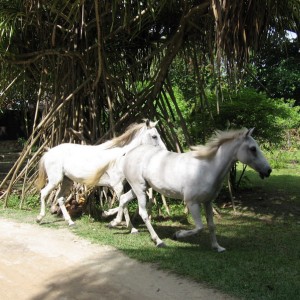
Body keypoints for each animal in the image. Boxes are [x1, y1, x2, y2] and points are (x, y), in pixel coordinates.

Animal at [36, 119, 166, 225]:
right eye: (154, 136)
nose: (165, 151)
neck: (122, 158)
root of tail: (49, 152)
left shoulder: (125, 186)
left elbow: (123, 202)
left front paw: (107, 214)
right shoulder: (117, 186)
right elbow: (124, 205)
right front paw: (131, 228)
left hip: (67, 181)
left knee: (60, 198)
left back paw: (70, 222)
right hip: (55, 180)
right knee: (43, 193)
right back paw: (39, 218)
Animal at [109, 127, 272, 252]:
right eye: (252, 149)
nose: (268, 170)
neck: (206, 169)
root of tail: (129, 153)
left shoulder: (207, 202)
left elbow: (211, 225)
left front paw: (217, 247)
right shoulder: (192, 202)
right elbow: (199, 227)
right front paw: (177, 234)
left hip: (141, 188)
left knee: (123, 199)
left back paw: (116, 224)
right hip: (140, 189)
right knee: (143, 213)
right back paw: (159, 241)